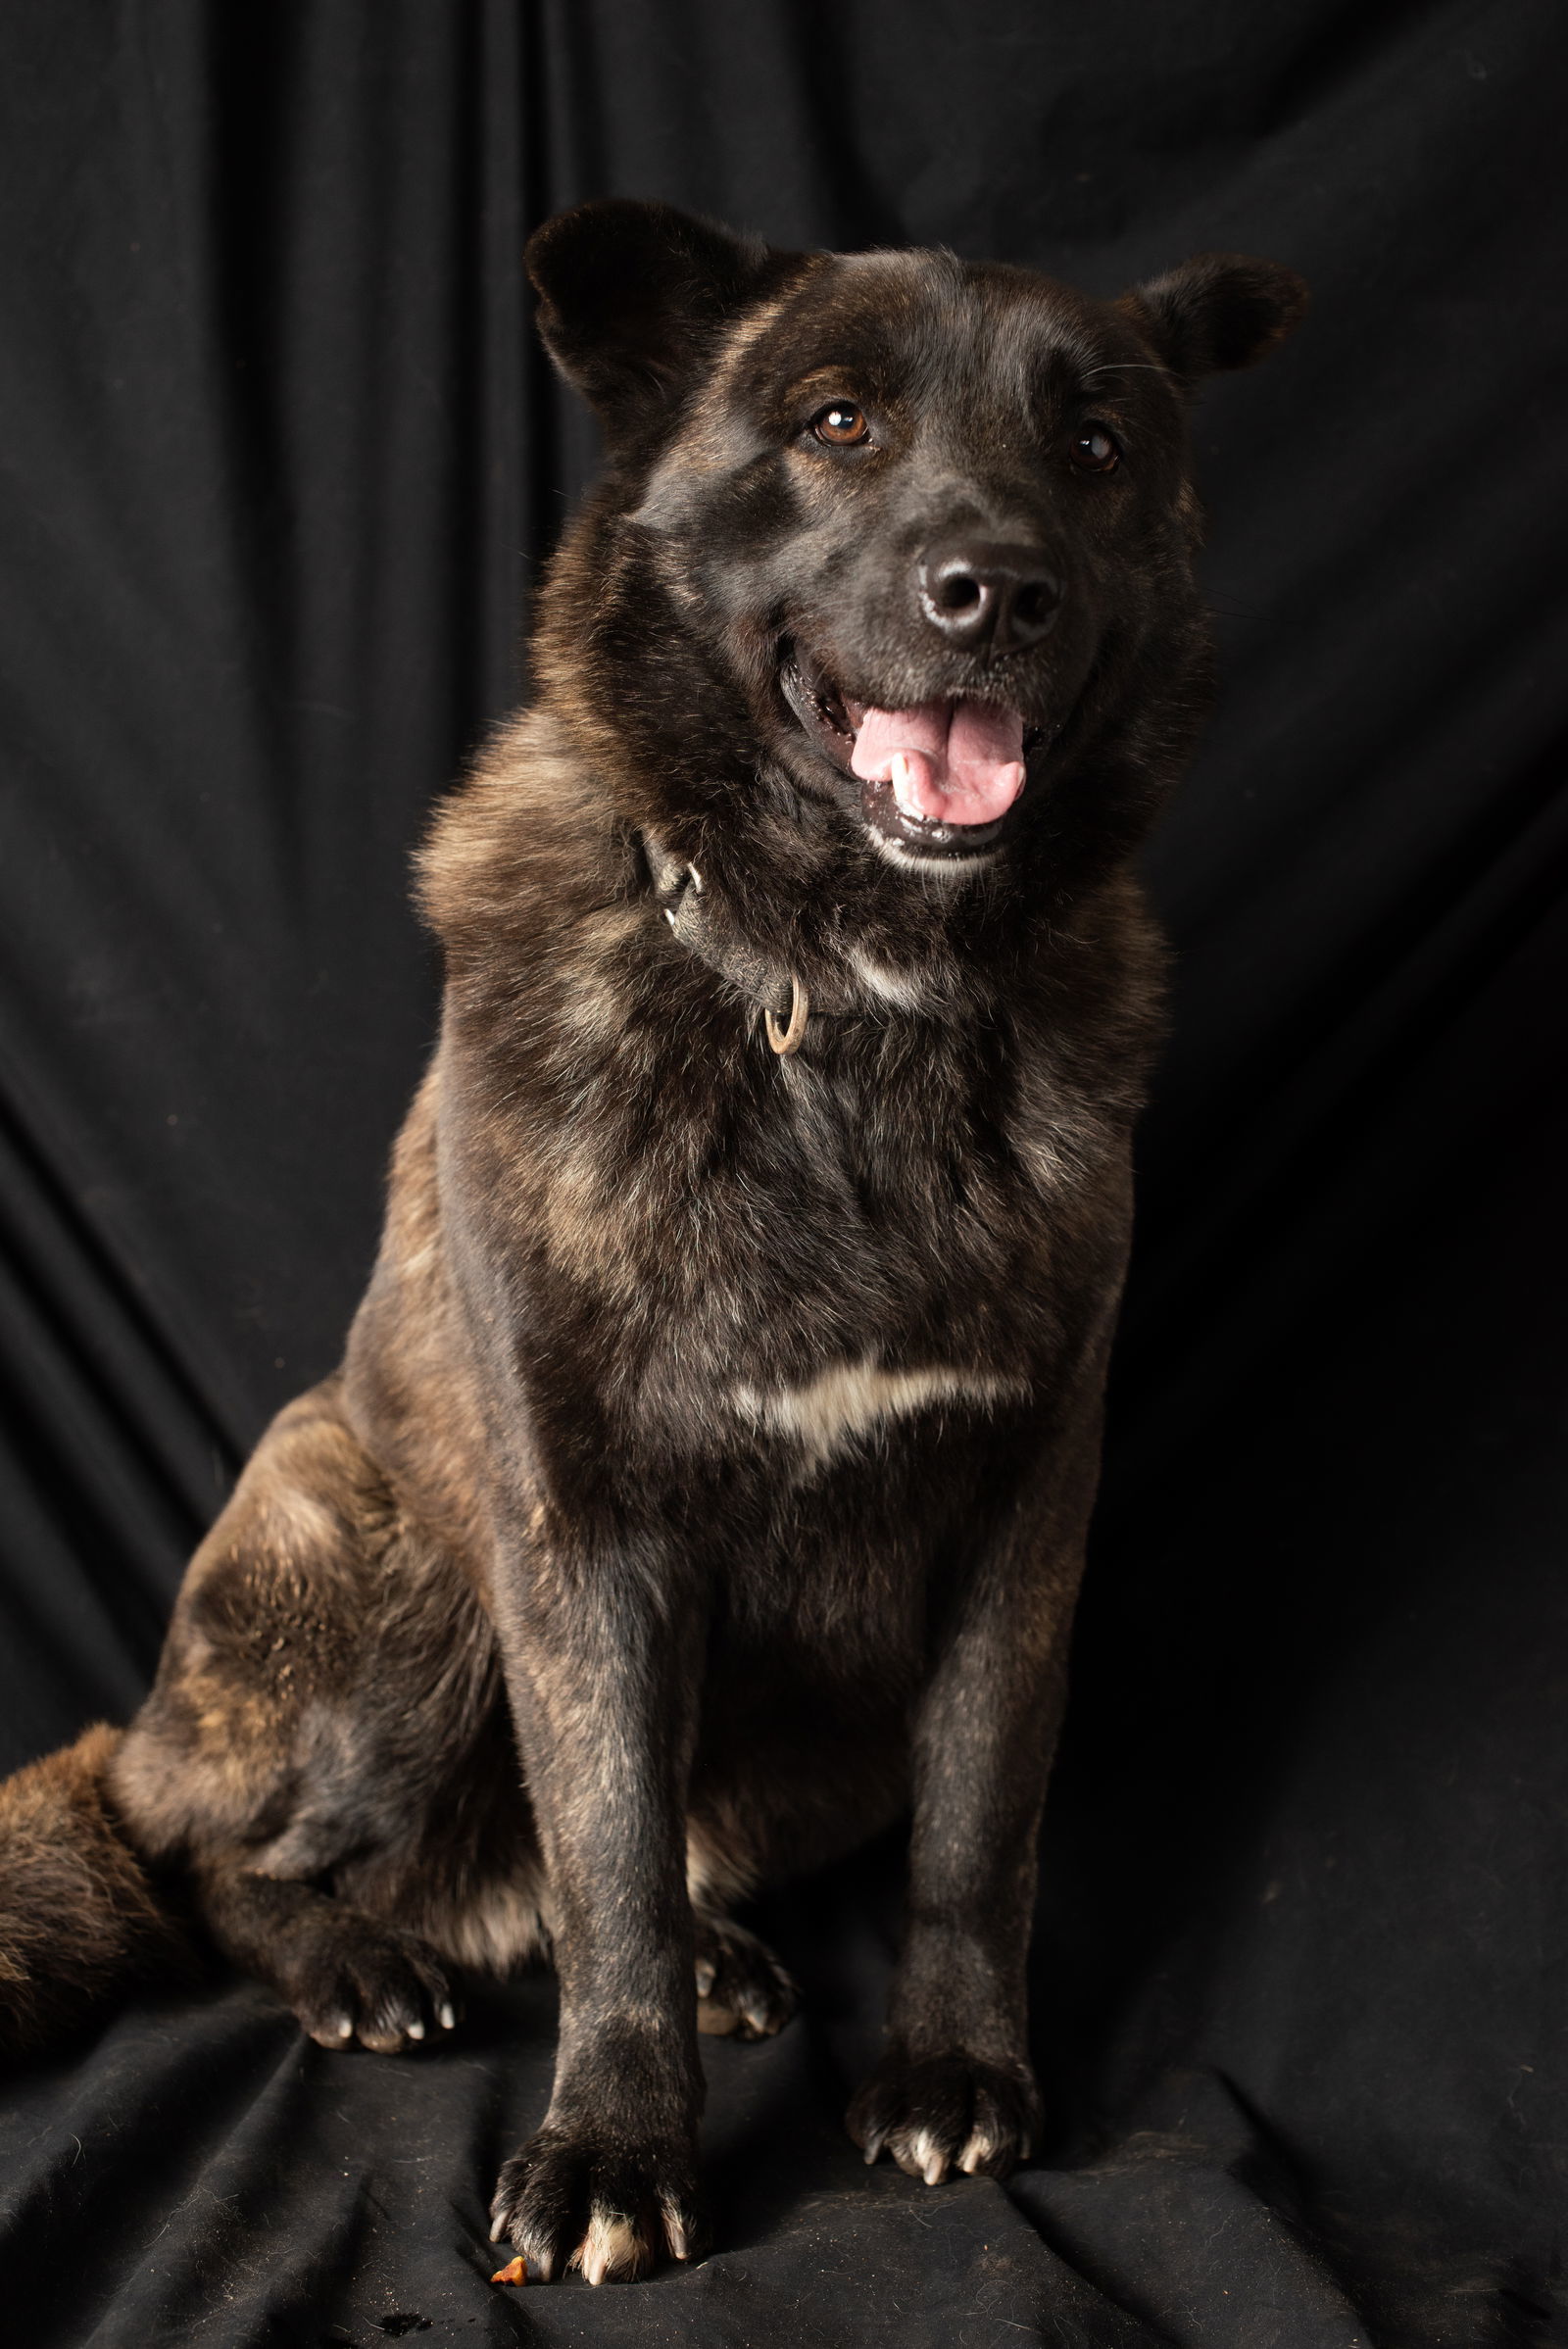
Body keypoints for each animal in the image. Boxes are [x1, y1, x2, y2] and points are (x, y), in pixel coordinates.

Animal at [0, 197, 1304, 2274]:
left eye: (1096, 448)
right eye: (838, 421)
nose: (999, 593)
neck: (837, 999)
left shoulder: (1022, 1512)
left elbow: (975, 1831)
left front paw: (952, 2070)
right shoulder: (587, 1532)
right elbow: (603, 1851)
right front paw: (615, 2144)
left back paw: (698, 1950)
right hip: (379, 1578)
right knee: (210, 1851)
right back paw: (354, 1959)